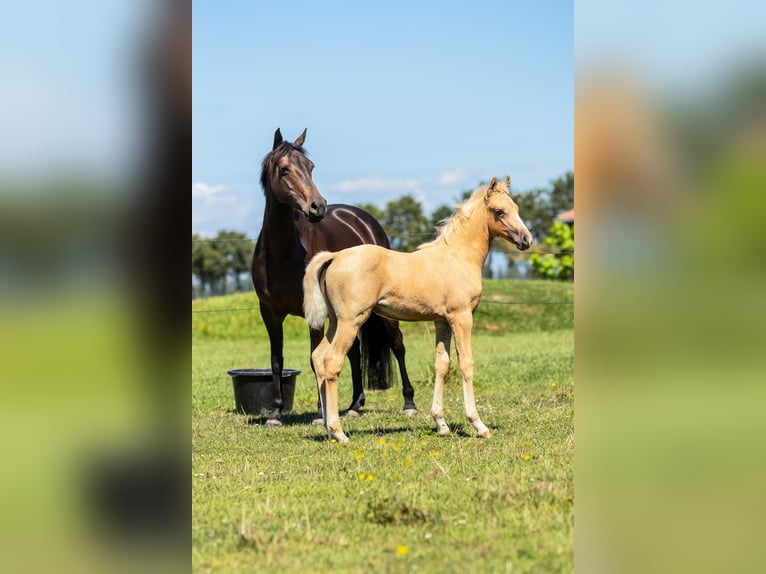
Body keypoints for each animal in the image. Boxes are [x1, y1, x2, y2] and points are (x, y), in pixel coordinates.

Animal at [255, 130, 416, 428]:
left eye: (311, 167)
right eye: (284, 169)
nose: (318, 207)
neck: (281, 252)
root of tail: (363, 220)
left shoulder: (314, 314)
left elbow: (314, 358)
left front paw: (320, 414)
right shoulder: (269, 313)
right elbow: (276, 359)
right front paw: (275, 413)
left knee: (398, 345)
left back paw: (409, 403)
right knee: (354, 350)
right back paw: (354, 406)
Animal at [306, 176, 536, 446]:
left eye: (517, 208)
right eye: (499, 211)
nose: (526, 240)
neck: (458, 257)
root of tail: (333, 257)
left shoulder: (442, 321)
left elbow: (442, 365)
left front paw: (441, 424)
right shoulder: (461, 318)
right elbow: (466, 364)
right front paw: (478, 424)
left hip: (335, 321)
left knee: (318, 357)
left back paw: (327, 429)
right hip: (350, 321)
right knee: (331, 361)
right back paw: (338, 432)